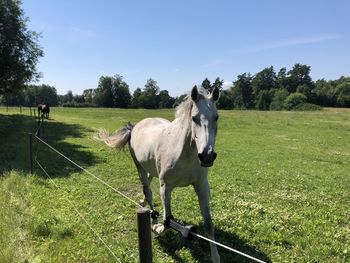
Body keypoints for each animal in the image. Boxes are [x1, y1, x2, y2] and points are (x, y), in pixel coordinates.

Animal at [95, 86, 221, 263]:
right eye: (194, 118)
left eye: (216, 117)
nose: (207, 156)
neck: (184, 154)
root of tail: (135, 126)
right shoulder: (165, 187)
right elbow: (168, 220)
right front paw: (157, 228)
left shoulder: (202, 186)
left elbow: (209, 224)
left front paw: (215, 257)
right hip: (139, 167)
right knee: (147, 191)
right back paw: (152, 217)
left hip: (150, 168)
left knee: (147, 186)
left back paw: (142, 203)